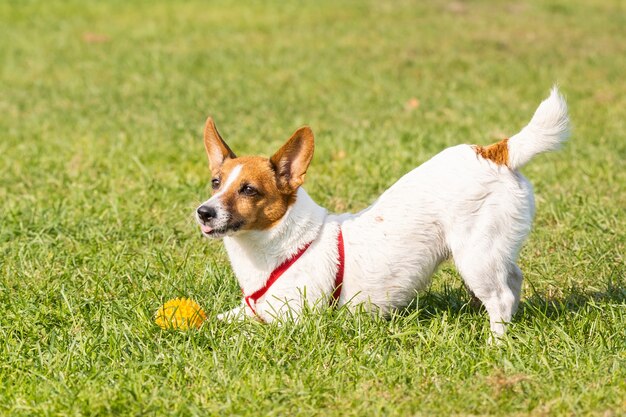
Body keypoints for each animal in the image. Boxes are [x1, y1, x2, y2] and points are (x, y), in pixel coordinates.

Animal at [195, 88, 564, 338]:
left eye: (248, 190)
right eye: (216, 183)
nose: (203, 212)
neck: (280, 246)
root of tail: (495, 152)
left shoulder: (290, 320)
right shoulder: (250, 310)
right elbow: (217, 320)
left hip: (475, 257)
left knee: (500, 296)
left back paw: (495, 343)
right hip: (494, 250)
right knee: (513, 280)